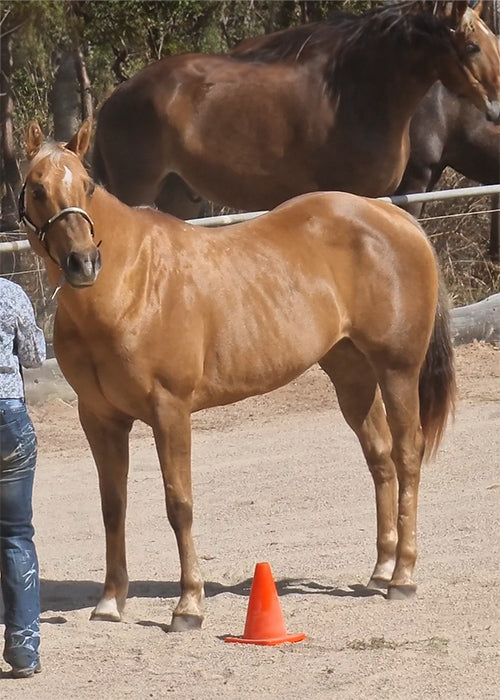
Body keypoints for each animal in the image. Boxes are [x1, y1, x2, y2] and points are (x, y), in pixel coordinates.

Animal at [22, 123, 458, 632]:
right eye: (37, 189)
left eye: (87, 186)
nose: (83, 263)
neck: (130, 286)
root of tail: (394, 217)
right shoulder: (99, 419)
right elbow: (113, 506)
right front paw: (110, 602)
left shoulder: (170, 411)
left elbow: (179, 504)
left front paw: (188, 606)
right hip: (351, 374)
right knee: (381, 459)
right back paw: (381, 569)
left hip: (398, 370)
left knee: (408, 456)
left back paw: (403, 577)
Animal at [93, 1, 500, 217]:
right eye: (472, 47)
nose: (496, 109)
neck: (356, 95)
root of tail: (114, 98)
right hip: (136, 193)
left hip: (179, 196)